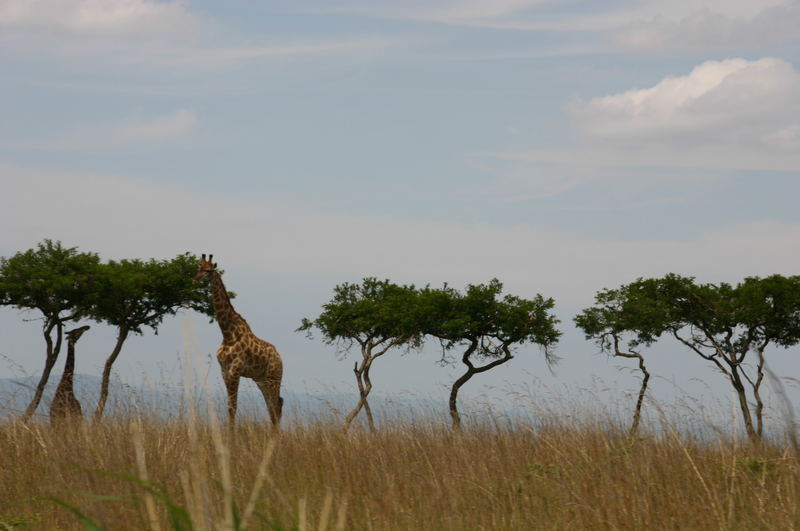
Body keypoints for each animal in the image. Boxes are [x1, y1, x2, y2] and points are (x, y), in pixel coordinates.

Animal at [195, 255, 284, 428]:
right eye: (198, 267)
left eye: (208, 271)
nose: (194, 280)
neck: (227, 333)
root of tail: (280, 358)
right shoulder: (224, 371)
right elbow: (230, 406)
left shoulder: (235, 370)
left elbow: (233, 407)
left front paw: (232, 435)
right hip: (261, 380)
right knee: (271, 408)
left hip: (274, 378)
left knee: (276, 408)